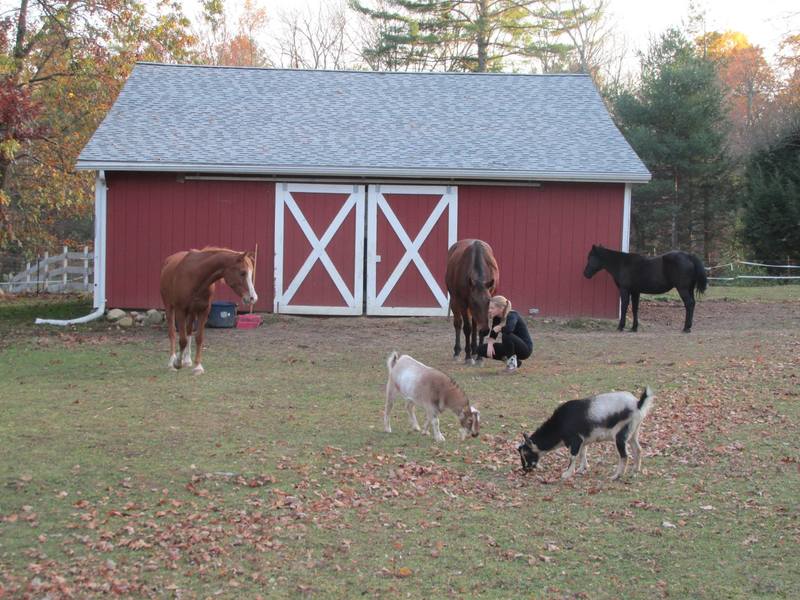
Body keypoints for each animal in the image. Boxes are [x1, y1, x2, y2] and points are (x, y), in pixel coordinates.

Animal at [520, 386, 656, 480]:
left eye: (526, 454)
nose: (525, 469)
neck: (560, 423)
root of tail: (637, 404)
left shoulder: (575, 440)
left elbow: (573, 456)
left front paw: (567, 474)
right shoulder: (583, 441)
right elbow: (582, 453)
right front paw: (582, 469)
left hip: (620, 436)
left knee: (624, 456)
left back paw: (616, 476)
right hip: (633, 433)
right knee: (638, 449)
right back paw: (635, 471)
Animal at [580, 246, 708, 336]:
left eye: (590, 257)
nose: (585, 274)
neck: (623, 263)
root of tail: (689, 256)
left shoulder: (625, 290)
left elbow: (625, 307)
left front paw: (621, 327)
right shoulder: (635, 291)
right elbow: (635, 308)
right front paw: (634, 328)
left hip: (682, 289)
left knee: (689, 304)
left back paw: (686, 328)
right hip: (689, 289)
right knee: (692, 304)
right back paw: (688, 327)